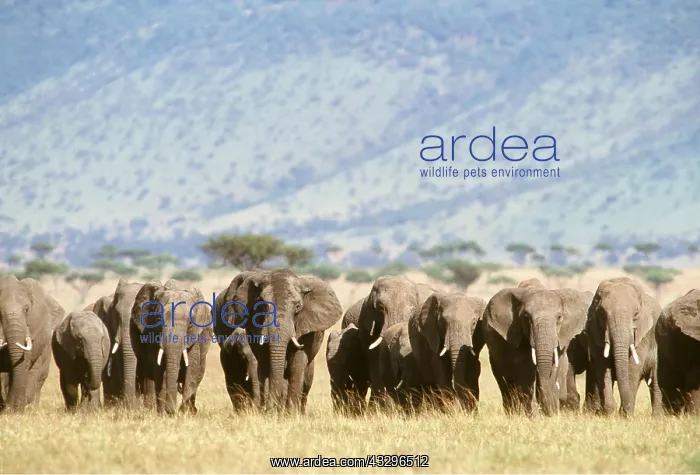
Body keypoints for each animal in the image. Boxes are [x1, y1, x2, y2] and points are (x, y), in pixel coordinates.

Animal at [131, 279, 212, 414]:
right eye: (158, 319)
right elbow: (159, 369)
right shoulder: (151, 330)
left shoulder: (196, 335)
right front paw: (164, 413)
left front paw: (184, 413)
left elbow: (191, 368)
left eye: (190, 324)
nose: (172, 411)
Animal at [214, 268, 342, 413]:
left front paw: (290, 414)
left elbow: (297, 361)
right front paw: (270, 412)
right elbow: (264, 360)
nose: (269, 408)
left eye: (298, 307)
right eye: (262, 306)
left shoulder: (307, 325)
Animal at [484, 278, 591, 416]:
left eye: (559, 318)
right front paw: (534, 415)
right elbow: (525, 370)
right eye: (526, 317)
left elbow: (553, 366)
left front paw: (548, 414)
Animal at [586, 276, 662, 417]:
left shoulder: (644, 335)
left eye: (636, 314)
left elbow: (632, 367)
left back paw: (657, 417)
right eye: (601, 313)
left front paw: (626, 415)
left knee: (655, 380)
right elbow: (602, 365)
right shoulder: (594, 330)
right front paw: (610, 413)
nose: (623, 410)